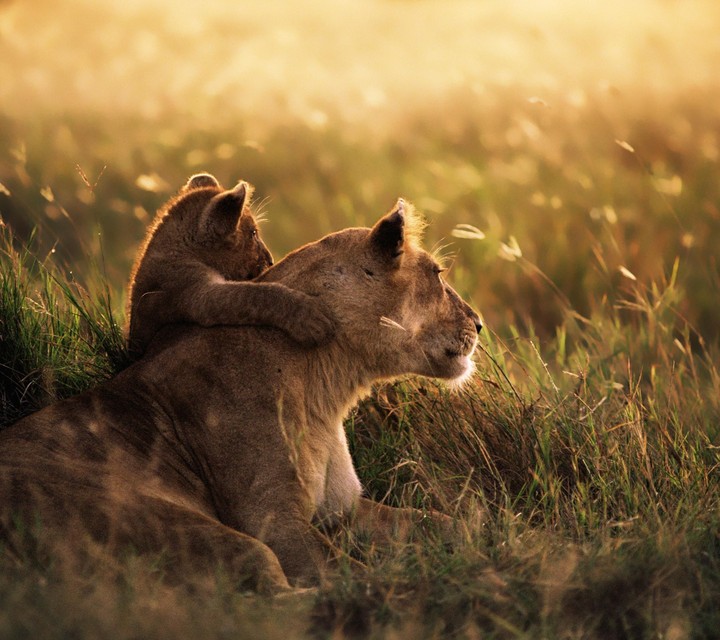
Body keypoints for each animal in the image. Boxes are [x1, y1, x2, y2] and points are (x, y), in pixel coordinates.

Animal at [0, 199, 482, 593]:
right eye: (438, 274)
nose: (478, 323)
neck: (328, 387)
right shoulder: (273, 520)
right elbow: (348, 575)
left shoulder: (342, 510)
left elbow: (444, 523)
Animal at [126, 172, 334, 356]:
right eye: (253, 233)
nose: (270, 260)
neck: (179, 250)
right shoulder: (196, 294)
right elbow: (254, 295)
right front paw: (310, 318)